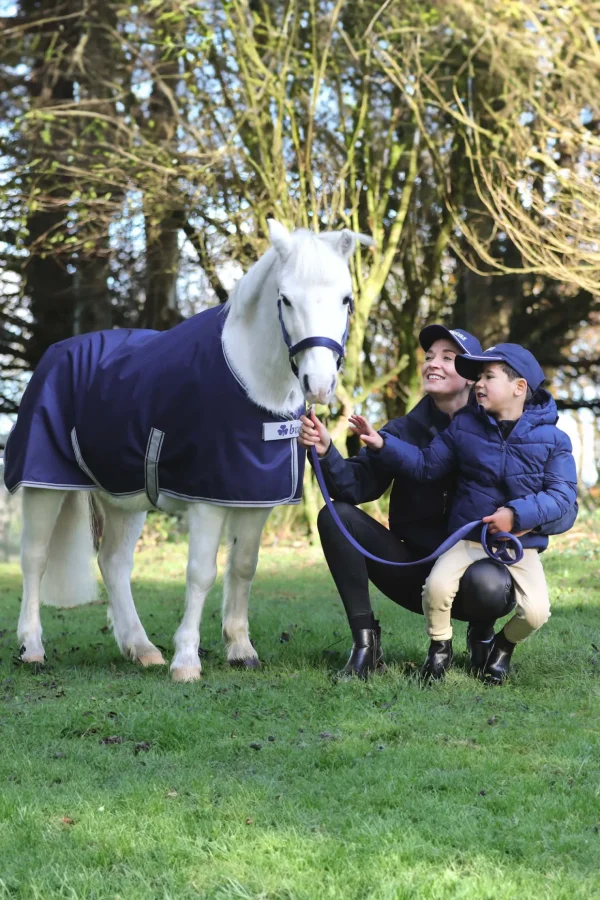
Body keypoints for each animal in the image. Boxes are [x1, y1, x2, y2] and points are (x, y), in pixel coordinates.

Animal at [11, 220, 372, 684]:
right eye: (286, 299)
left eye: (346, 298)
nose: (320, 385)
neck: (252, 384)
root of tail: (54, 355)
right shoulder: (207, 499)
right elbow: (202, 574)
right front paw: (186, 660)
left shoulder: (255, 499)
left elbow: (244, 566)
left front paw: (241, 649)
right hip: (45, 486)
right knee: (34, 559)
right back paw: (32, 647)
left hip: (122, 499)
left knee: (113, 563)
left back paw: (142, 649)